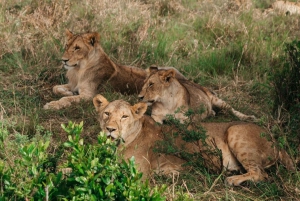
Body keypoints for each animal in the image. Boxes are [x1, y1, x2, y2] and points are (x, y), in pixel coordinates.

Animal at [43, 29, 185, 110]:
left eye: (77, 48)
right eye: (67, 45)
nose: (63, 60)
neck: (79, 70)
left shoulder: (90, 95)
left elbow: (66, 100)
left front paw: (52, 105)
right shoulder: (73, 84)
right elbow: (55, 88)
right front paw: (68, 93)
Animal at [92, 95, 294, 186]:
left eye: (124, 116)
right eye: (107, 113)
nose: (110, 129)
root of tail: (275, 139)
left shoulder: (139, 174)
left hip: (235, 131)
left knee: (261, 173)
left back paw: (232, 179)